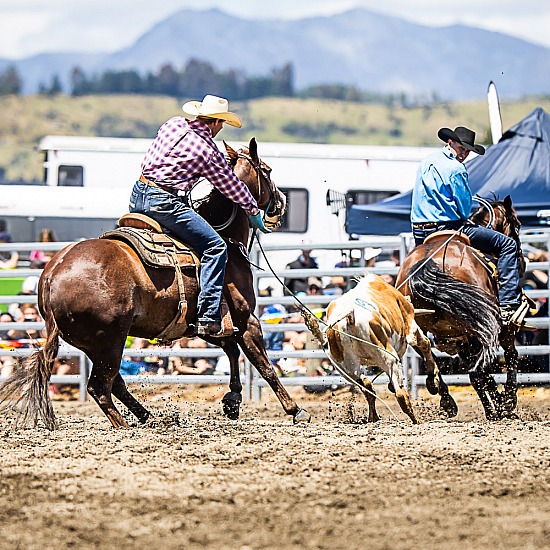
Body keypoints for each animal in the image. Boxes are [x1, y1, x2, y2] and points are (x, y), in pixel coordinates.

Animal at [0, 138, 310, 432]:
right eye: (267, 171)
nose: (281, 201)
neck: (226, 243)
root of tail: (52, 274)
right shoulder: (246, 319)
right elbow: (263, 364)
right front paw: (295, 410)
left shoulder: (205, 324)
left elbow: (232, 350)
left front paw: (232, 402)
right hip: (110, 339)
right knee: (100, 387)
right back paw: (127, 425)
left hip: (93, 343)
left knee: (115, 384)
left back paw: (148, 417)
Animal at [306, 274, 440, 424]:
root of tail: (349, 314)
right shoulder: (411, 327)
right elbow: (425, 344)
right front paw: (433, 381)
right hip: (388, 357)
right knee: (400, 394)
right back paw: (417, 420)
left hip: (346, 368)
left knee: (367, 386)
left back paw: (373, 417)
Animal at [396, 196, 528, 420]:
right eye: (517, 225)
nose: (521, 260)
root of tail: (426, 263)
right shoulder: (502, 330)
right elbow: (510, 356)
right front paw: (507, 402)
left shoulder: (462, 340)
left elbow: (480, 374)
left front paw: (498, 404)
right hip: (478, 328)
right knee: (479, 369)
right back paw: (495, 409)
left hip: (423, 330)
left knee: (438, 360)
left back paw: (446, 399)